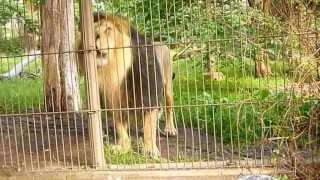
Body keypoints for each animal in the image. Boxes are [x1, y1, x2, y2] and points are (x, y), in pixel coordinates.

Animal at [78, 12, 176, 157]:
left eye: (108, 29)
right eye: (94, 30)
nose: (95, 37)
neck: (114, 67)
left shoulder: (149, 92)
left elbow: (149, 125)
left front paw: (150, 150)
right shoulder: (113, 97)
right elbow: (120, 125)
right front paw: (123, 146)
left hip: (167, 85)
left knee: (168, 108)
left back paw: (169, 129)